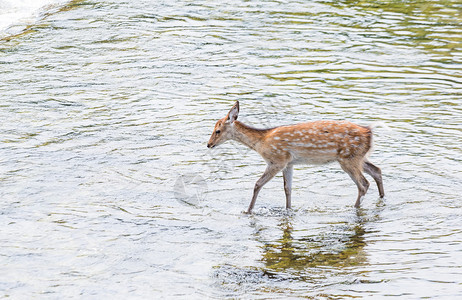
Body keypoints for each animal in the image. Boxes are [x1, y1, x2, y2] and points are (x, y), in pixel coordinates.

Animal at [208, 102, 384, 214]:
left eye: (217, 130)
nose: (209, 144)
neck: (261, 142)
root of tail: (369, 132)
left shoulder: (276, 160)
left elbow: (257, 184)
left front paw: (248, 211)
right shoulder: (289, 163)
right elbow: (288, 189)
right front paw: (288, 209)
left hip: (348, 158)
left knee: (363, 184)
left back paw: (354, 208)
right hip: (358, 157)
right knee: (377, 170)